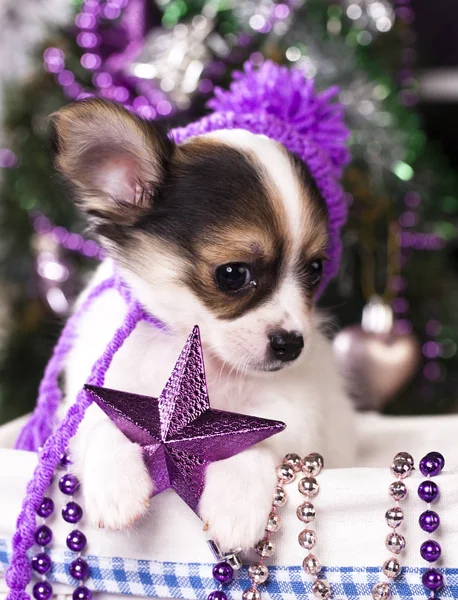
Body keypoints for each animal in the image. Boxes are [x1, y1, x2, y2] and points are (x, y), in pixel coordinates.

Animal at [52, 99, 354, 552]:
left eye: (316, 269)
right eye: (232, 274)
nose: (291, 344)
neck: (197, 355)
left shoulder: (295, 411)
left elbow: (256, 437)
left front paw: (235, 505)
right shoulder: (95, 395)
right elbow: (102, 423)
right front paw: (116, 484)